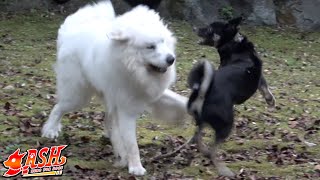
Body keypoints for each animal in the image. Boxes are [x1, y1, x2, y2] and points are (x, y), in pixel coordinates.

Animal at [42, 0, 188, 175]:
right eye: (150, 47)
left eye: (162, 42)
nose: (171, 59)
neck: (132, 68)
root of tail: (69, 32)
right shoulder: (126, 109)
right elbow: (132, 144)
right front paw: (136, 167)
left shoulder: (150, 93)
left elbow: (179, 100)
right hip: (78, 96)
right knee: (58, 108)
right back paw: (50, 130)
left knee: (106, 119)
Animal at [186, 16, 268, 177]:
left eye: (210, 28)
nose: (193, 28)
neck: (234, 44)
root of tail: (203, 93)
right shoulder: (258, 73)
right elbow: (264, 85)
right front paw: (270, 100)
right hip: (227, 124)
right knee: (213, 149)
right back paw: (223, 169)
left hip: (202, 120)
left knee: (198, 136)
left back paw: (203, 150)